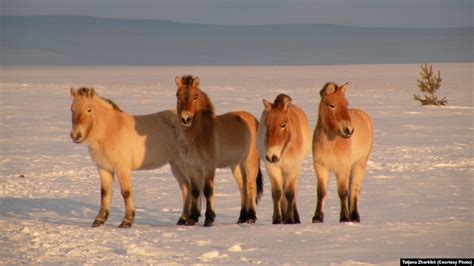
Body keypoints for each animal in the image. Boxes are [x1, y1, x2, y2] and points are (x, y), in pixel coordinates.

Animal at [69, 88, 190, 229]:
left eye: (89, 109)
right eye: (72, 109)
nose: (75, 135)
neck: (110, 131)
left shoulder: (122, 169)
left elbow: (126, 192)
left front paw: (127, 221)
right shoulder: (103, 168)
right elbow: (105, 192)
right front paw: (99, 220)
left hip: (184, 164)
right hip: (175, 165)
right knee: (185, 187)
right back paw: (183, 219)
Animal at [174, 75, 262, 227]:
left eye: (195, 96)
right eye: (178, 96)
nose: (186, 118)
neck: (199, 134)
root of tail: (254, 119)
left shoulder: (208, 167)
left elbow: (208, 191)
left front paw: (209, 219)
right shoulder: (192, 168)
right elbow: (195, 191)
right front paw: (191, 219)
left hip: (250, 163)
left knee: (251, 186)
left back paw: (251, 218)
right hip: (236, 166)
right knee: (242, 188)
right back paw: (241, 218)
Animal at [258, 94, 312, 223]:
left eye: (283, 125)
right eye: (266, 124)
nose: (271, 156)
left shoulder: (293, 168)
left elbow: (289, 193)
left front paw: (289, 219)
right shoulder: (272, 168)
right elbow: (277, 192)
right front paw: (277, 219)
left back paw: (295, 217)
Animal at [312, 82, 372, 223]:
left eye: (346, 104)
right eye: (332, 105)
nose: (349, 130)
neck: (330, 144)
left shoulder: (343, 168)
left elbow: (343, 192)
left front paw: (344, 217)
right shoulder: (320, 167)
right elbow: (321, 191)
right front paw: (317, 217)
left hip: (359, 165)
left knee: (354, 189)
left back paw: (354, 216)